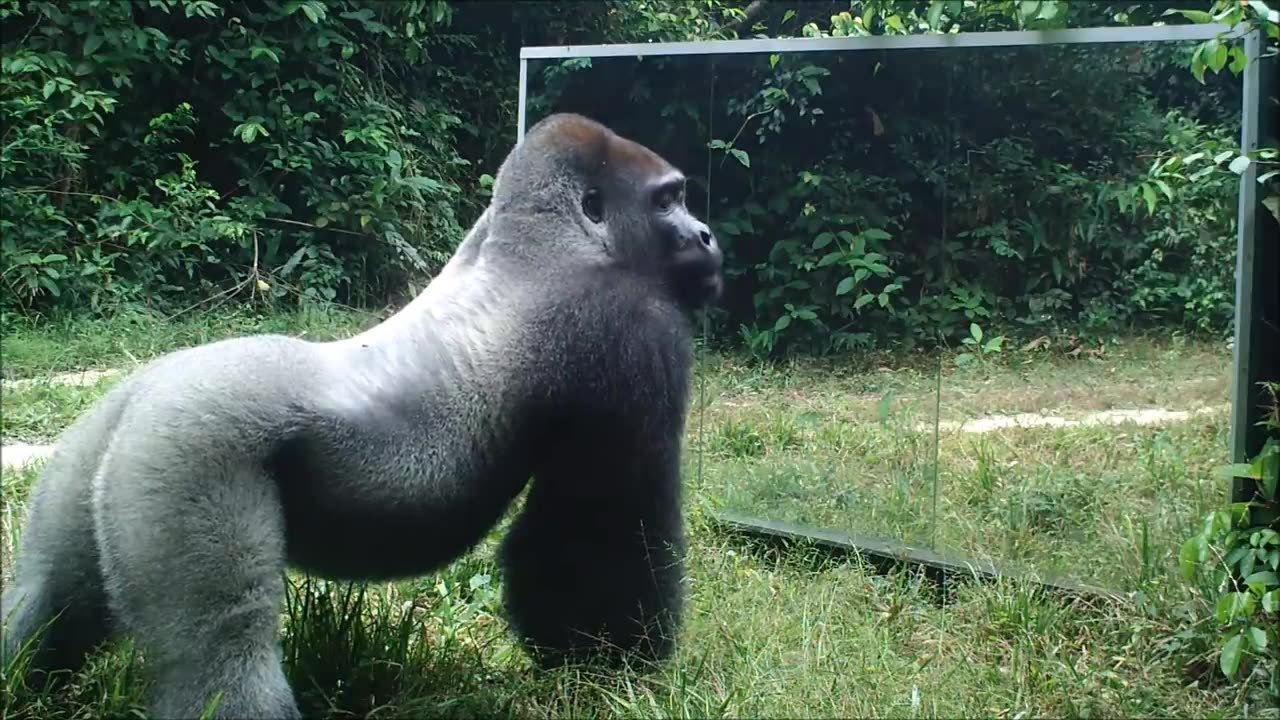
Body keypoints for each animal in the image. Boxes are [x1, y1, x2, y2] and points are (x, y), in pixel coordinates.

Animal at [0, 113, 721, 717]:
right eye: (667, 200)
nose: (708, 236)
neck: (542, 242)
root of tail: (141, 395)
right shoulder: (628, 328)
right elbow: (602, 529)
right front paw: (611, 670)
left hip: (94, 453)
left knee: (49, 596)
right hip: (185, 455)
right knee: (222, 657)